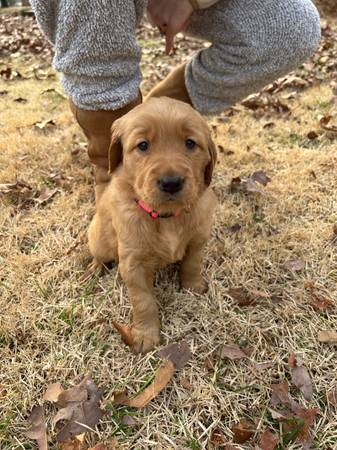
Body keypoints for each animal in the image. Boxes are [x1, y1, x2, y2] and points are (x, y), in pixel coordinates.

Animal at [88, 96, 217, 354]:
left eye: (190, 143)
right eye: (143, 145)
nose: (171, 182)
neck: (167, 217)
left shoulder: (198, 238)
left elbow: (192, 263)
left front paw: (192, 286)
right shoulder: (132, 264)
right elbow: (144, 301)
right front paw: (145, 335)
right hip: (98, 238)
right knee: (99, 253)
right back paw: (95, 267)